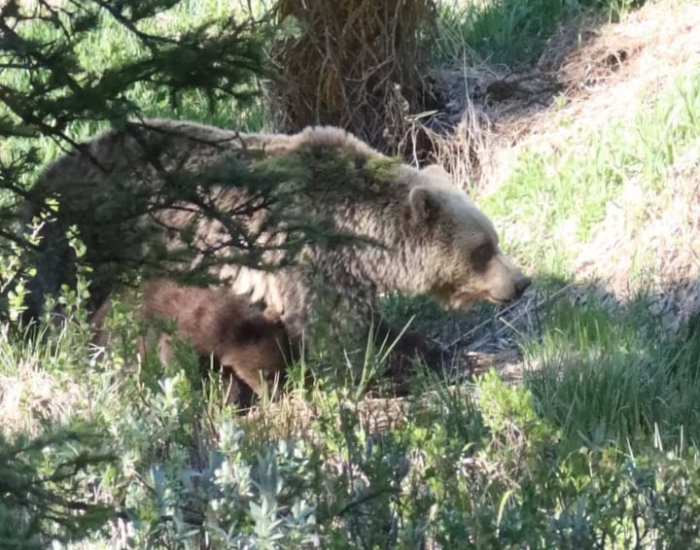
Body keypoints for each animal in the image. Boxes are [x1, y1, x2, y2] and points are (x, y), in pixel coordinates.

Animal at [22, 119, 531, 381]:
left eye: (494, 240)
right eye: (483, 249)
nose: (521, 282)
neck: (361, 236)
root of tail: (36, 184)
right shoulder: (308, 259)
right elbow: (340, 341)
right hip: (79, 243)